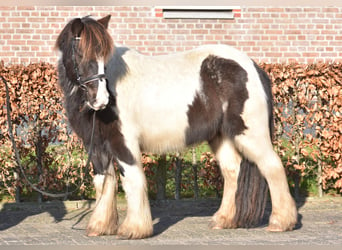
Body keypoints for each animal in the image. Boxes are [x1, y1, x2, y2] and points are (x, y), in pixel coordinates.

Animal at [55, 15, 296, 238]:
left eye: (103, 56)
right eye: (80, 54)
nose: (101, 99)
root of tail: (253, 67)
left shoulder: (123, 143)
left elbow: (131, 179)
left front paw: (133, 229)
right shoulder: (96, 146)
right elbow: (104, 182)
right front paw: (100, 227)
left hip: (250, 134)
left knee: (272, 167)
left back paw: (281, 222)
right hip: (221, 136)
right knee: (232, 170)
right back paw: (224, 220)